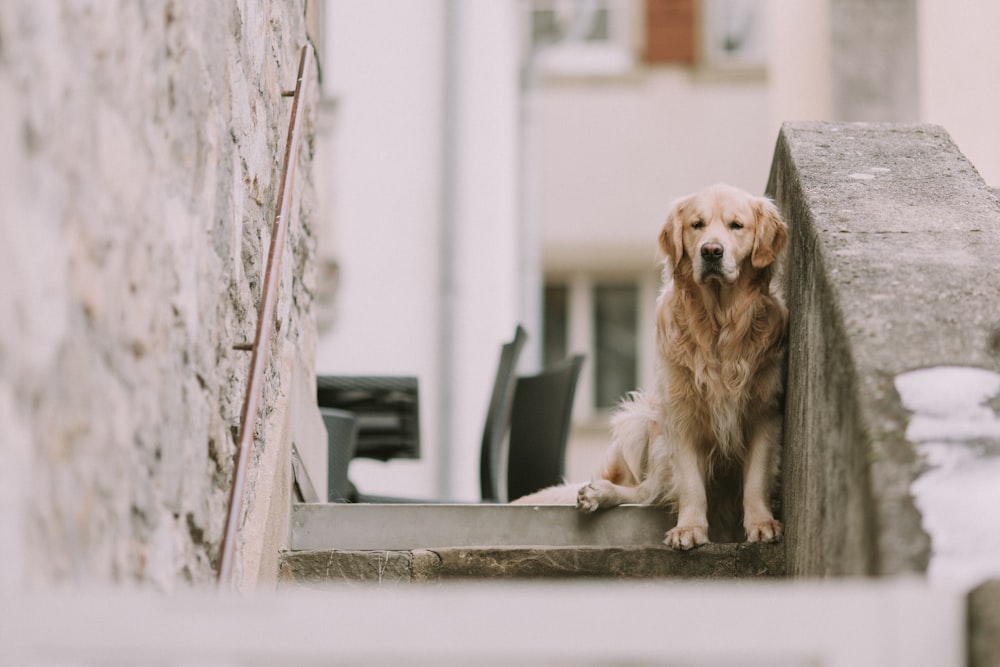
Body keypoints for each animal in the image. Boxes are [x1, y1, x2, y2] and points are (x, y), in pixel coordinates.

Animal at [516, 184, 788, 552]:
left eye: (737, 225)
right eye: (697, 224)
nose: (711, 252)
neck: (717, 326)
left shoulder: (764, 412)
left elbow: (756, 479)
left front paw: (760, 523)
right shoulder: (680, 416)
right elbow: (690, 484)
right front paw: (689, 528)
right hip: (641, 420)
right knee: (647, 491)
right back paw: (599, 493)